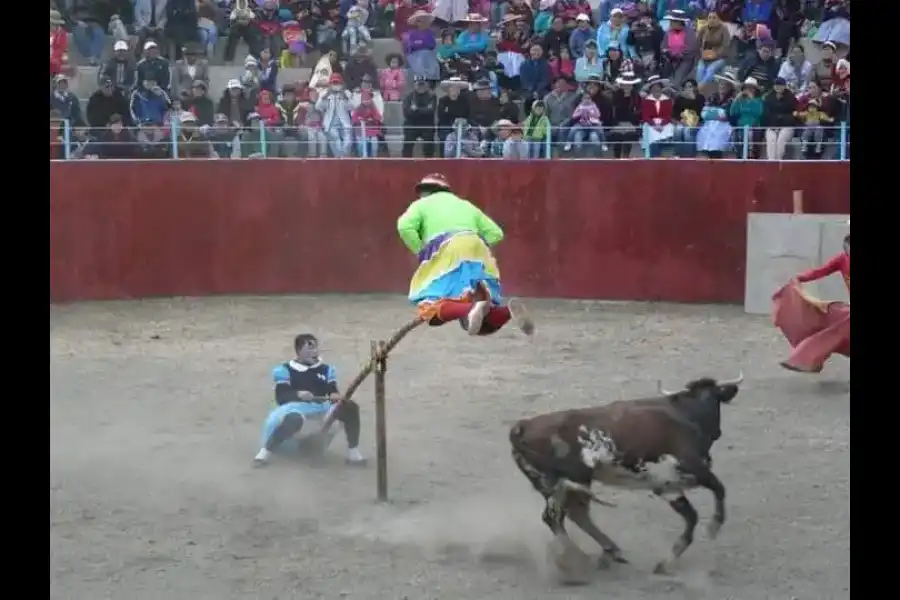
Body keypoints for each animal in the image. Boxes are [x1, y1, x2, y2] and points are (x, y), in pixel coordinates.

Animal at [510, 376, 740, 576]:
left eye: (715, 399)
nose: (717, 432)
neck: (686, 416)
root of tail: (523, 426)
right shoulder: (694, 469)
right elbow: (719, 489)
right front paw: (714, 527)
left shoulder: (666, 486)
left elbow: (691, 517)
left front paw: (666, 563)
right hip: (569, 482)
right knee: (558, 517)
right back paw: (582, 558)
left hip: (556, 485)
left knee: (572, 516)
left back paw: (607, 552)